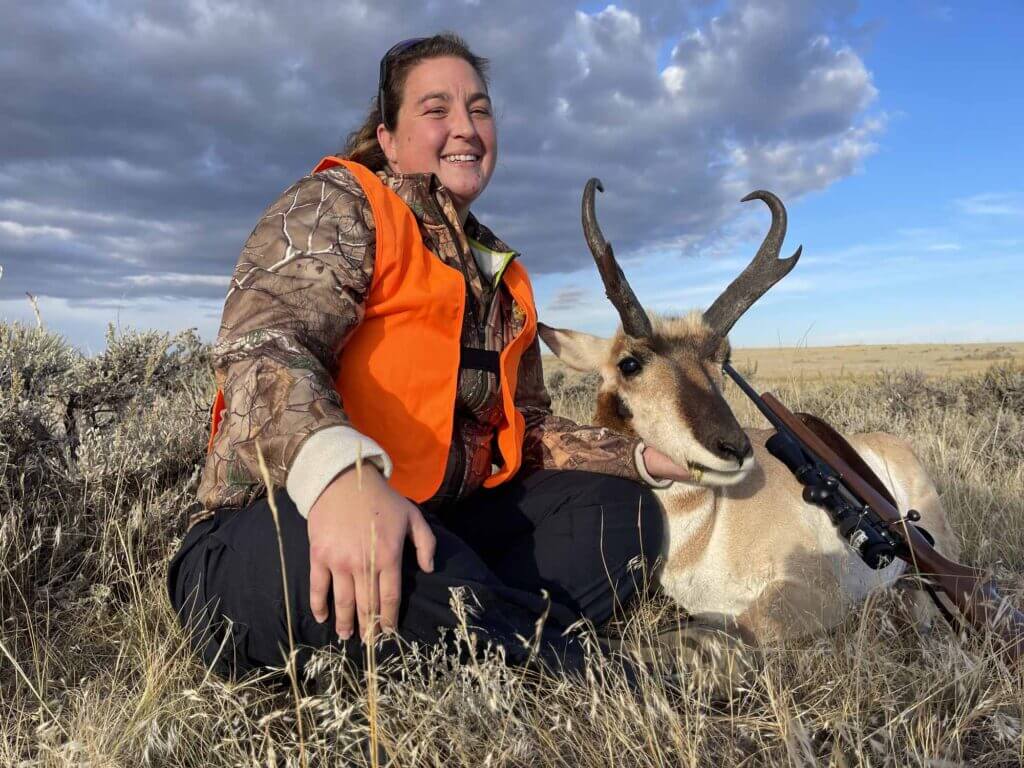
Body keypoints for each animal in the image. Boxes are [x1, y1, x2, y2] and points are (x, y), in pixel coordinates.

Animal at [538, 181, 961, 646]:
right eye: (629, 363)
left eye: (723, 358)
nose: (735, 449)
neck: (706, 530)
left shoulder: (811, 597)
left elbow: (728, 631)